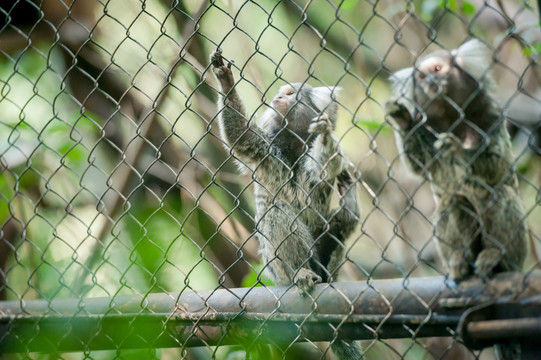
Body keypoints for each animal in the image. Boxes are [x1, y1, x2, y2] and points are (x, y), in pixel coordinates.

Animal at [211, 51, 362, 360]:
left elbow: (326, 165)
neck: (295, 145)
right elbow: (240, 136)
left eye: (291, 94)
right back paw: (301, 273)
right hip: (277, 270)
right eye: (281, 93)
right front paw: (225, 80)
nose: (279, 97)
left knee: (339, 229)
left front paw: (325, 135)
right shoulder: (265, 151)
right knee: (277, 214)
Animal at [386, 39, 524, 282]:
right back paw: (460, 261)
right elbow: (420, 165)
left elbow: (498, 165)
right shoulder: (426, 126)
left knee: (499, 195)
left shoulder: (491, 115)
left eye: (437, 69)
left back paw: (496, 256)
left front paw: (458, 149)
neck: (451, 114)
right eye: (421, 76)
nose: (430, 81)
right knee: (453, 202)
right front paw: (402, 120)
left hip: (518, 252)